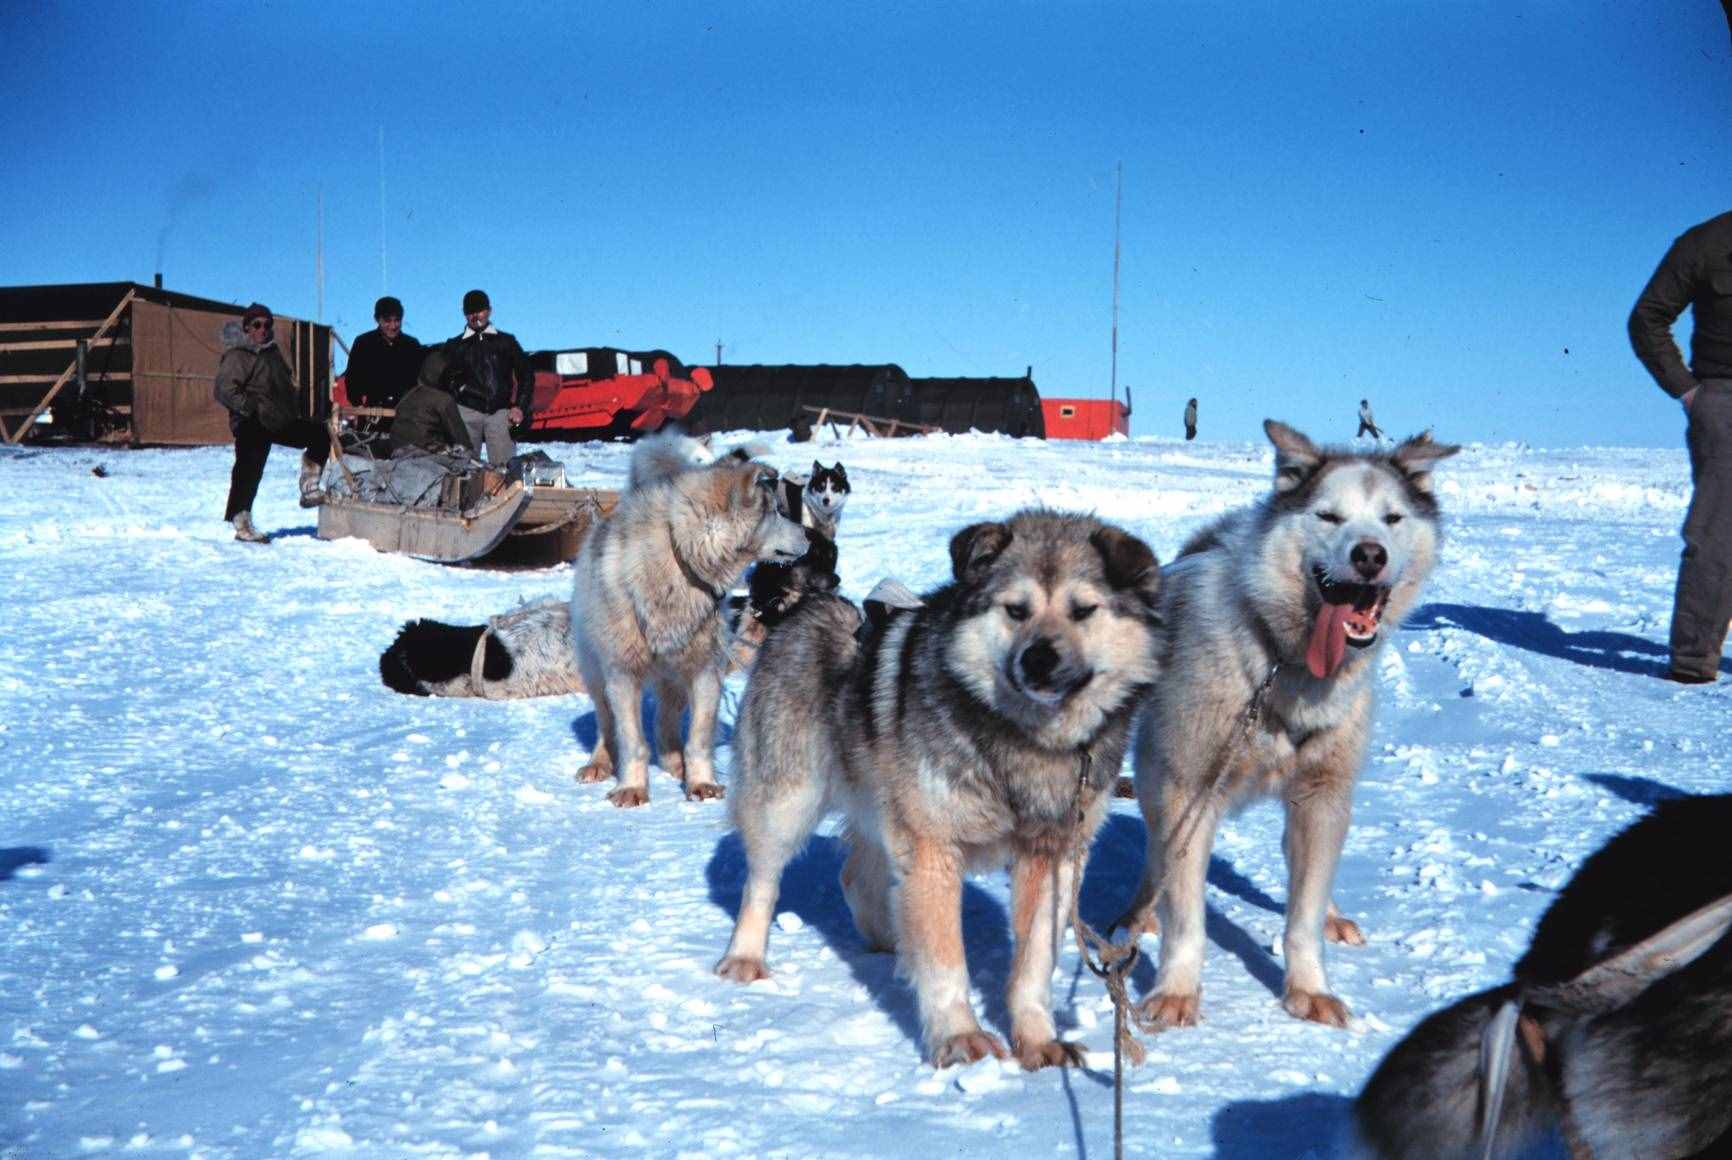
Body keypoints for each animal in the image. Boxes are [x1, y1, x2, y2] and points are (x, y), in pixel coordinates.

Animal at [571, 438, 807, 810]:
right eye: (774, 512)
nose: (809, 535)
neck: (680, 559)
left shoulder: (705, 670)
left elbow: (697, 737)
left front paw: (701, 783)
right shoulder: (623, 674)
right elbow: (631, 740)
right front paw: (632, 788)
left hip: (676, 678)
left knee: (665, 723)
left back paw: (675, 764)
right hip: (597, 672)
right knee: (607, 722)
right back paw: (599, 762)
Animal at [710, 509, 1170, 1073]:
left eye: (1083, 610)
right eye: (1015, 610)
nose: (1038, 659)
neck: (1024, 741)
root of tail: (805, 605)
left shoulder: (1053, 856)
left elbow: (1033, 964)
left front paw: (1038, 1040)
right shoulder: (934, 848)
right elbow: (947, 959)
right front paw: (960, 1037)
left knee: (857, 876)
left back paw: (891, 942)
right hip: (787, 800)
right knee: (764, 881)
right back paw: (745, 957)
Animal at [1115, 422, 1454, 1031]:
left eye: (1392, 518)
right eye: (1328, 516)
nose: (1370, 555)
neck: (1281, 661)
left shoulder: (1322, 796)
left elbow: (1302, 916)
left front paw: (1309, 986)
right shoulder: (1187, 790)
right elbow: (1186, 918)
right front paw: (1176, 989)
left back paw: (1333, 913)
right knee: (1158, 851)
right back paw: (1141, 911)